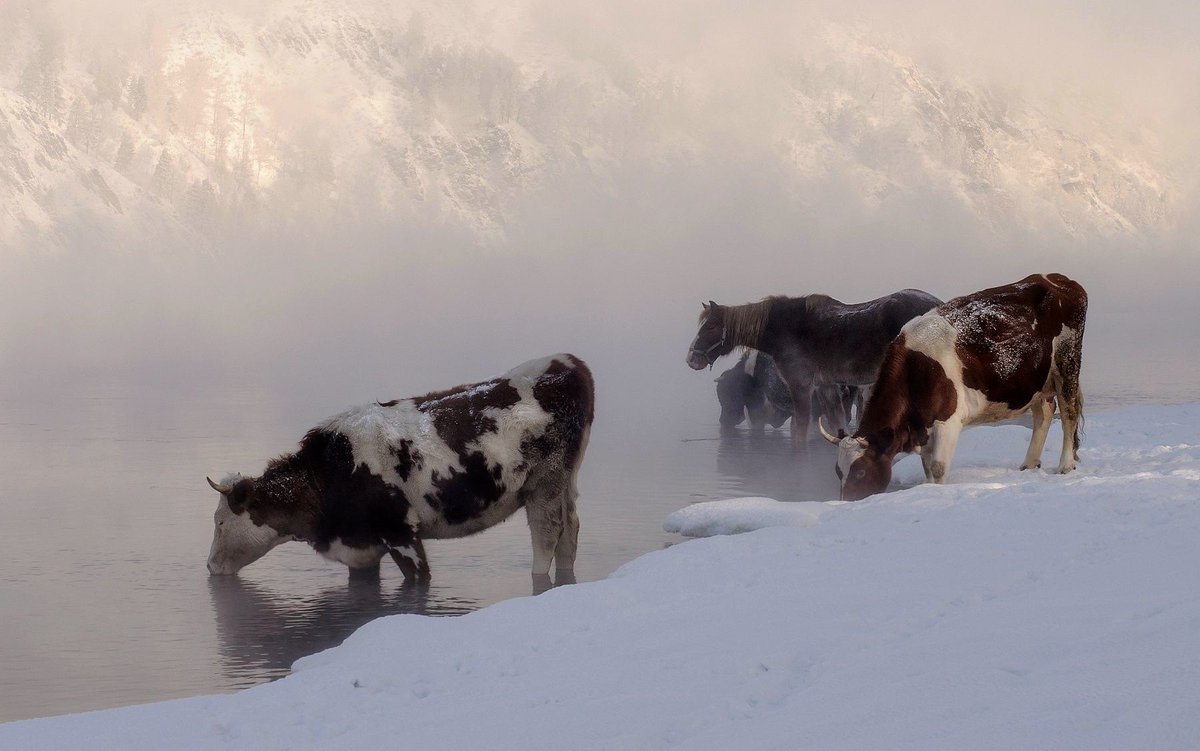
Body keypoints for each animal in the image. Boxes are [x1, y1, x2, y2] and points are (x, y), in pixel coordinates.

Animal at [206, 354, 594, 585]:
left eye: (220, 522)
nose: (210, 566)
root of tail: (567, 362)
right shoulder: (360, 549)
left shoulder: (401, 533)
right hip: (565, 484)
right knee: (571, 530)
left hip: (543, 486)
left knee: (548, 534)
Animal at [820, 273, 1087, 501]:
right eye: (837, 471)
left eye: (861, 472)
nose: (846, 503)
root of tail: (1057, 279)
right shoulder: (924, 426)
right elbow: (928, 469)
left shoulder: (947, 420)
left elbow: (938, 468)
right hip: (1038, 381)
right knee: (1043, 413)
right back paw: (1029, 464)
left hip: (1067, 363)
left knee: (1069, 413)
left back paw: (1065, 466)